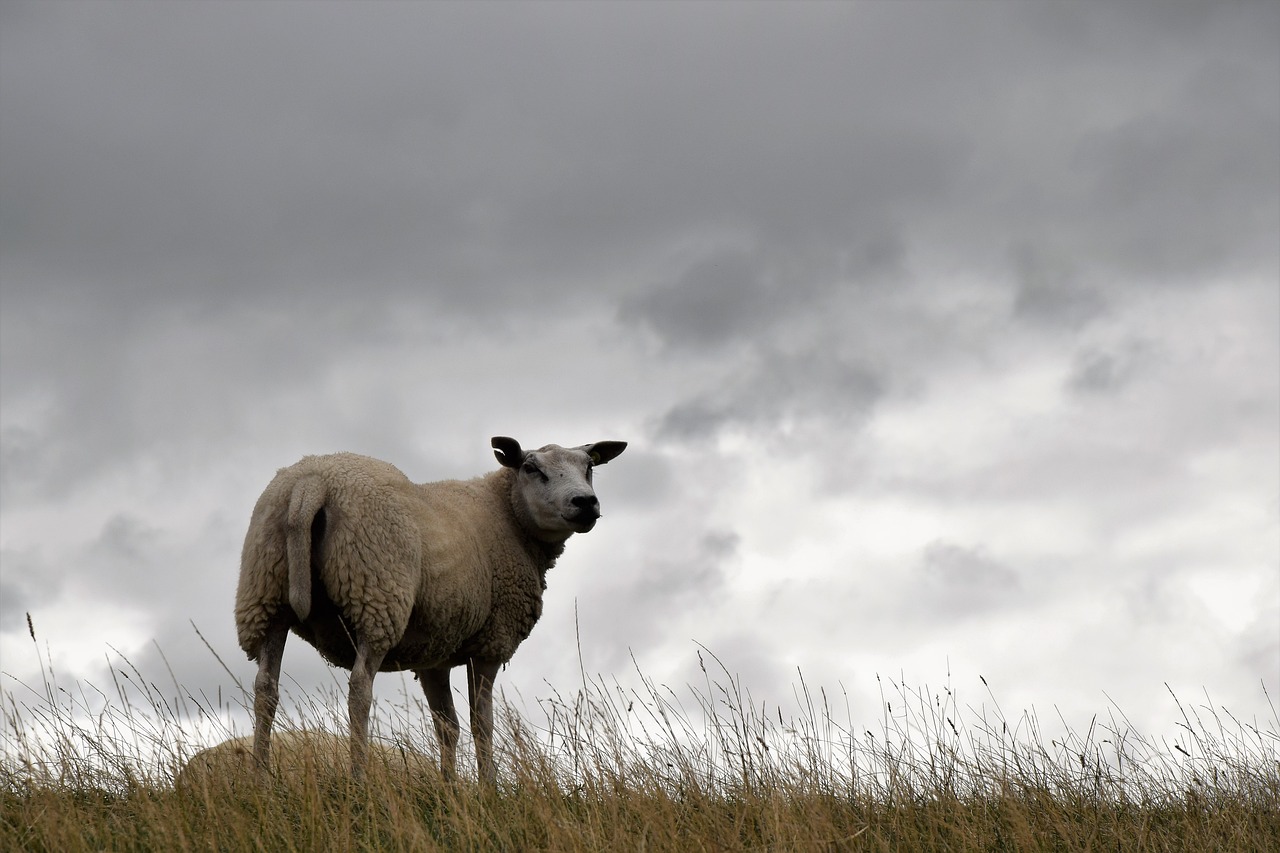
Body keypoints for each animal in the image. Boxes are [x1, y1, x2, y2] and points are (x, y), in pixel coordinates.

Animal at [238, 438, 627, 783]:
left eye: (589, 466)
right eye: (531, 468)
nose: (585, 502)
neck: (508, 516)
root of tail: (311, 483)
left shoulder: (432, 655)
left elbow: (447, 726)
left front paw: (449, 788)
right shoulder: (490, 642)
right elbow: (481, 722)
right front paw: (488, 789)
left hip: (266, 593)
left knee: (265, 690)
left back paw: (260, 781)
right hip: (376, 594)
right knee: (359, 689)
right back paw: (358, 781)